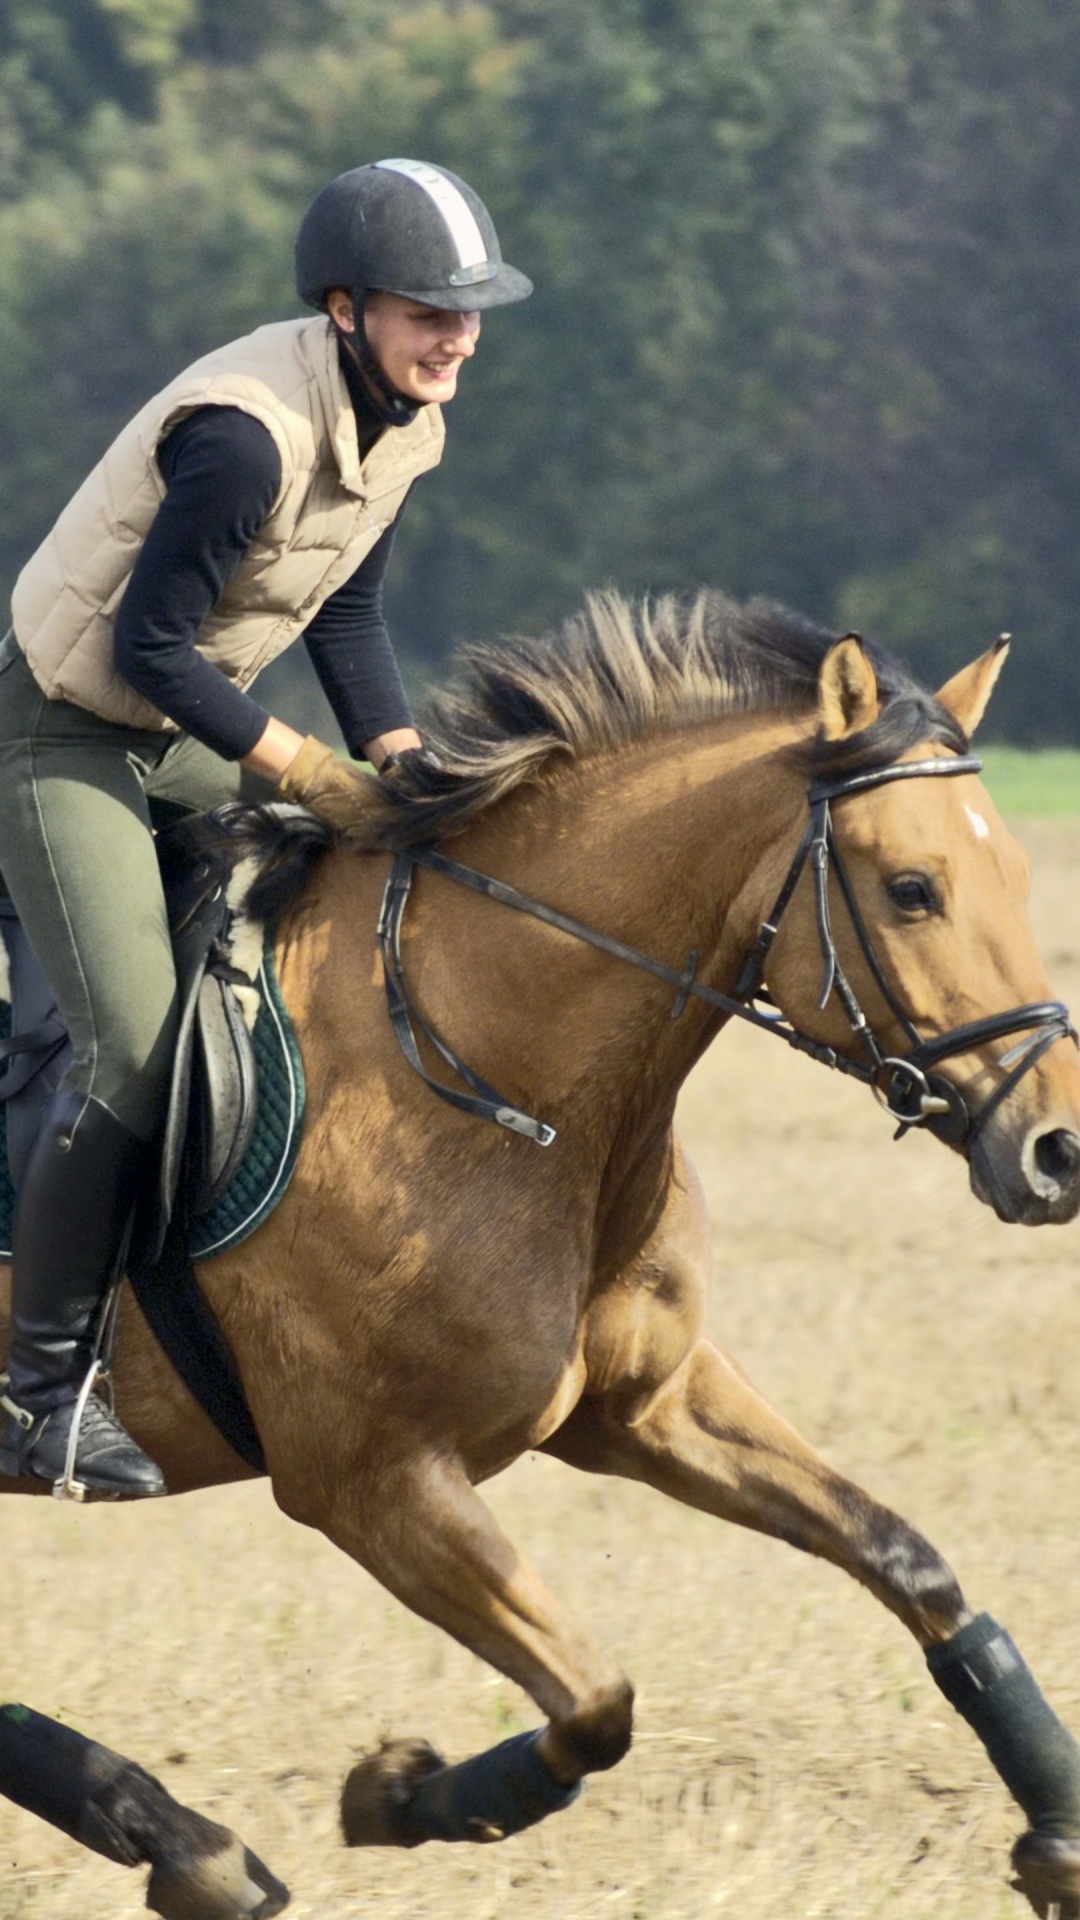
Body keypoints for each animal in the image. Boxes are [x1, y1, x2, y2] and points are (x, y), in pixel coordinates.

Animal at [3, 589, 1080, 1920]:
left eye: (1014, 872)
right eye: (914, 888)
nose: (1058, 1151)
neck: (484, 1067)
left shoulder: (646, 1402)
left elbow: (909, 1561)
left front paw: (1056, 1839)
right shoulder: (373, 1482)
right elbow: (595, 1704)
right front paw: (397, 1795)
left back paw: (177, 1841)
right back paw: (181, 1838)